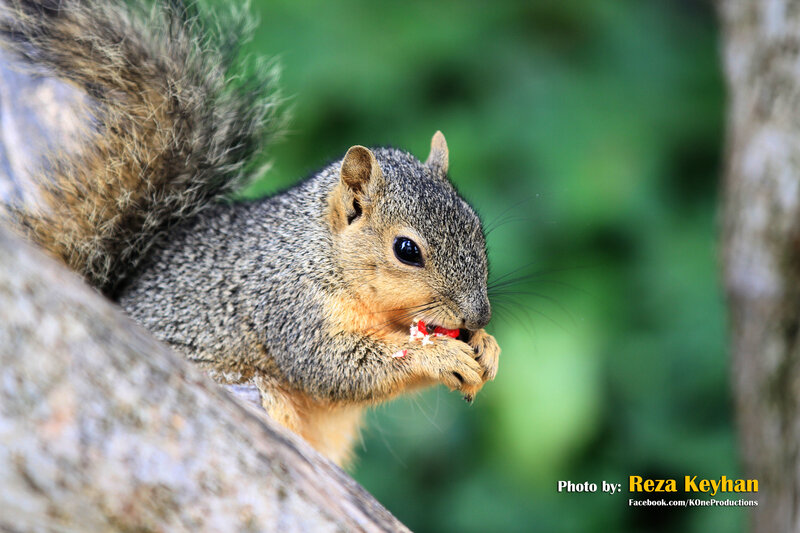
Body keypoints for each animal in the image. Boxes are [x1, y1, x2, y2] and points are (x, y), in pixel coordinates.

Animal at [0, 0, 500, 465]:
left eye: (477, 227)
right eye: (406, 250)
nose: (478, 317)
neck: (318, 252)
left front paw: (487, 348)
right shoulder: (289, 308)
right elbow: (337, 368)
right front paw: (439, 355)